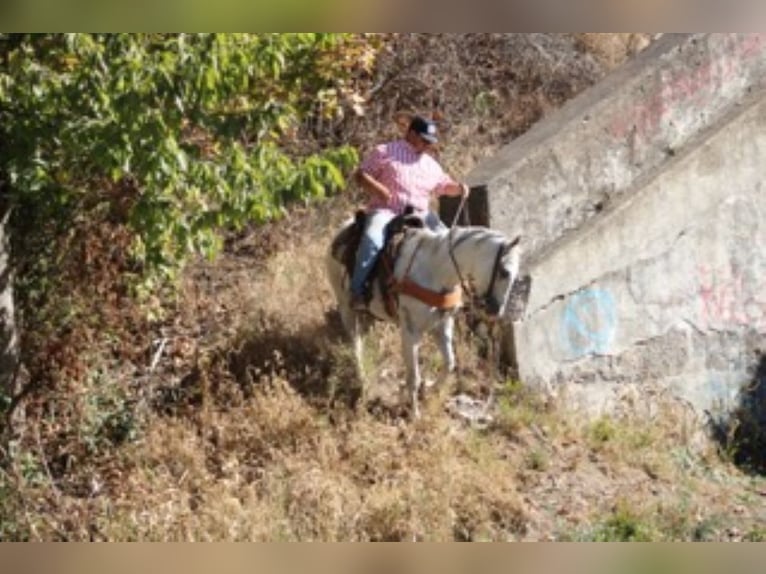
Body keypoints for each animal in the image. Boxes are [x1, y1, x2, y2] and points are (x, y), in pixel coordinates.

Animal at [326, 214, 522, 418]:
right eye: (504, 272)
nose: (496, 310)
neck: (436, 270)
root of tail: (342, 228)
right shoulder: (410, 331)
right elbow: (414, 377)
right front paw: (414, 413)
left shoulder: (442, 326)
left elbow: (449, 363)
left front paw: (429, 388)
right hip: (346, 308)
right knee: (356, 344)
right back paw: (362, 379)